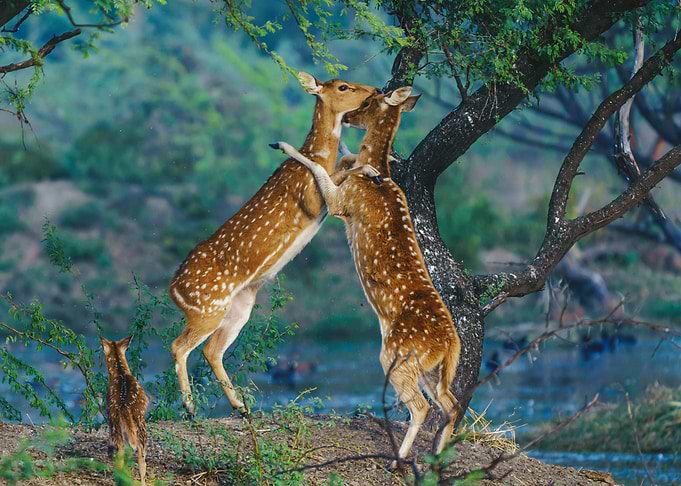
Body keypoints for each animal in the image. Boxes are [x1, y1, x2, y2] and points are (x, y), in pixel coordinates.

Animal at [100, 335, 149, 485]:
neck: (120, 372)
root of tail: (124, 405)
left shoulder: (108, 410)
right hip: (139, 421)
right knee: (141, 454)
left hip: (116, 419)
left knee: (121, 449)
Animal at [169, 73, 377, 416]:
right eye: (343, 86)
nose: (375, 89)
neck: (319, 153)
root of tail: (173, 291)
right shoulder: (310, 197)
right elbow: (337, 174)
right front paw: (369, 168)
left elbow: (344, 163)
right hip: (207, 309)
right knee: (179, 345)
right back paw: (190, 407)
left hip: (238, 306)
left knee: (212, 350)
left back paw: (240, 406)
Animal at [269, 86, 462, 461]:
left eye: (372, 101)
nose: (350, 117)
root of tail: (450, 343)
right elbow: (344, 159)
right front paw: (347, 150)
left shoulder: (342, 203)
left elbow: (321, 170)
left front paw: (283, 145)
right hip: (434, 369)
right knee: (451, 403)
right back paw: (435, 455)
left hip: (397, 355)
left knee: (422, 406)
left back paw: (399, 458)